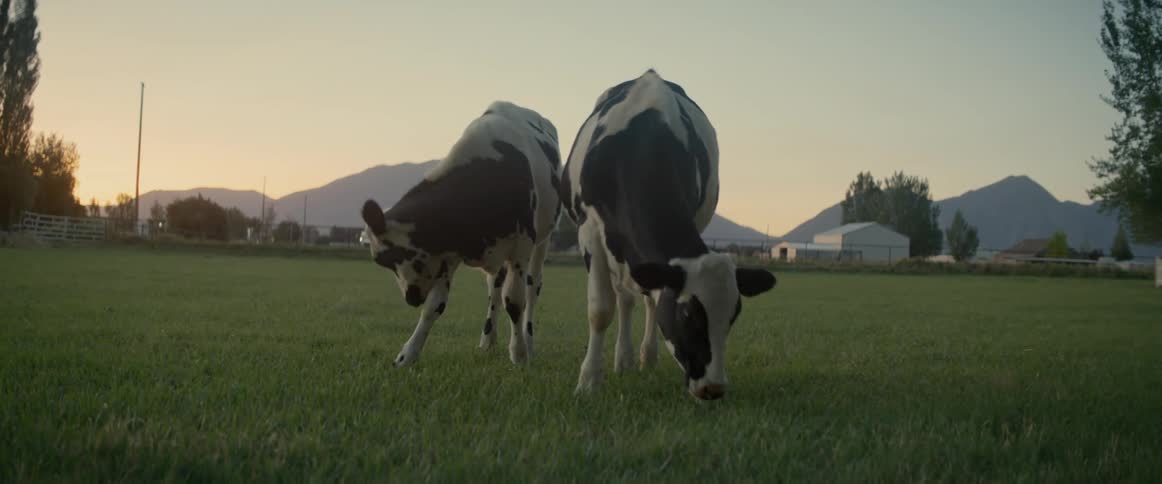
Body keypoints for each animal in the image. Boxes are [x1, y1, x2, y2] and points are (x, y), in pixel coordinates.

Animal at [360, 101, 562, 367]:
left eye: (392, 256)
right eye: (384, 263)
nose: (411, 298)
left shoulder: (521, 247)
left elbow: (515, 301)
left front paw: (519, 354)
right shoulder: (449, 256)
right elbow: (435, 306)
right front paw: (408, 354)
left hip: (543, 240)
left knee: (532, 286)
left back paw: (528, 342)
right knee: (494, 289)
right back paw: (488, 341)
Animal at [560, 70, 776, 400]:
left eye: (733, 315)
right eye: (687, 314)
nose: (713, 387)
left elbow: (651, 300)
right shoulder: (590, 230)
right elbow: (600, 309)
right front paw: (588, 382)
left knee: (644, 299)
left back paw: (643, 357)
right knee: (624, 299)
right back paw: (623, 358)